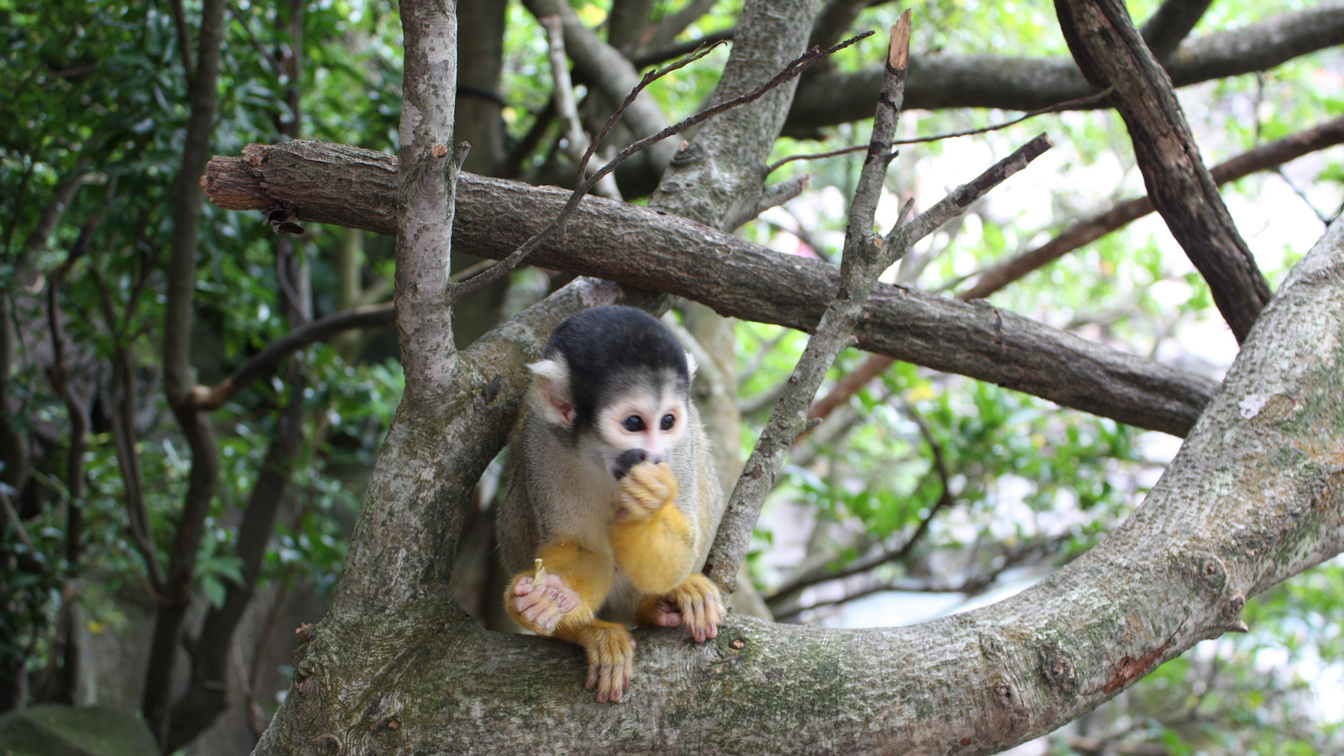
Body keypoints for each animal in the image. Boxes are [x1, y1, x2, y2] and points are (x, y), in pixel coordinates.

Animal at [497, 304, 725, 699]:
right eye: (633, 423)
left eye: (667, 421)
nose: (654, 458)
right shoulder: (544, 442)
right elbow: (581, 548)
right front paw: (551, 596)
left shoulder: (682, 446)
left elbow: (684, 541)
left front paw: (649, 508)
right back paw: (585, 631)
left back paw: (657, 606)